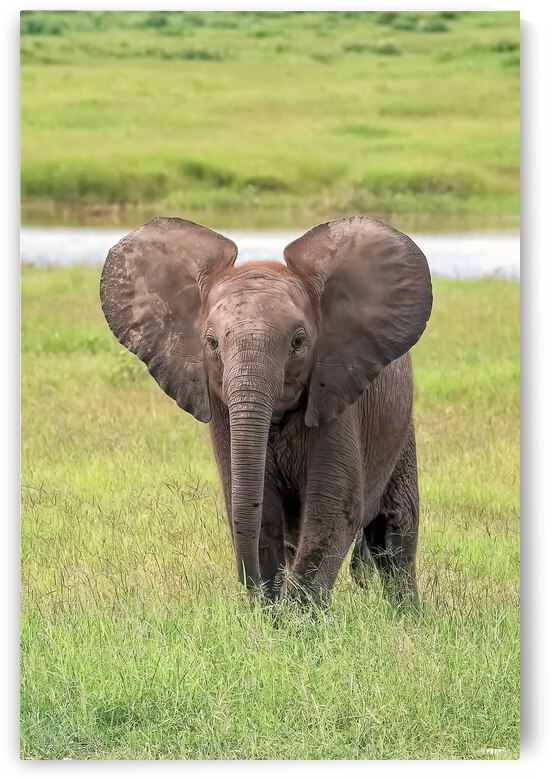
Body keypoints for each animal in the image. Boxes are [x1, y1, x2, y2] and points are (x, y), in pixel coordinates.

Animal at [100, 215, 432, 605]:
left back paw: (407, 613)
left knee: (395, 533)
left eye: (299, 342)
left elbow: (333, 511)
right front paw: (268, 611)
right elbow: (259, 511)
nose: (252, 586)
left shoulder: (335, 399)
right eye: (211, 342)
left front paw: (295, 616)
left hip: (402, 431)